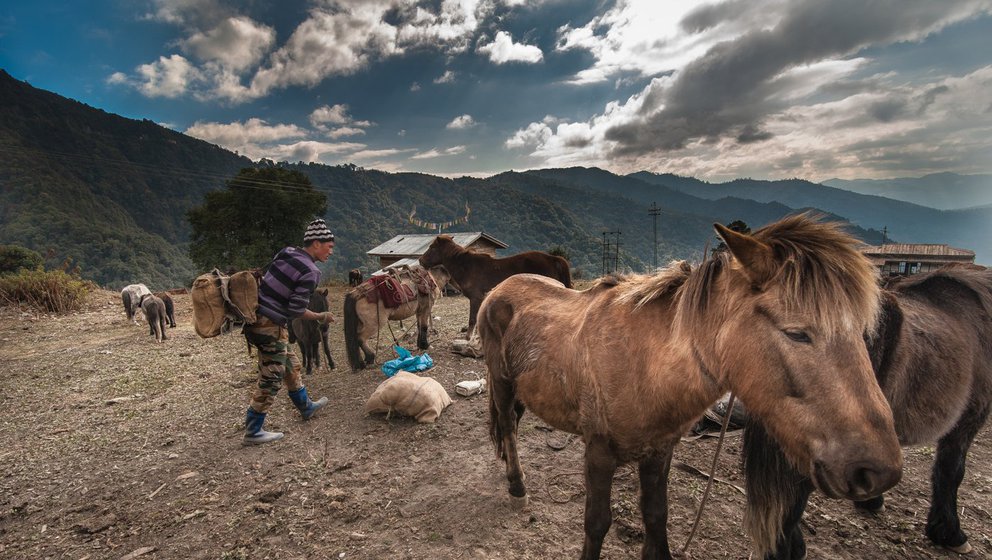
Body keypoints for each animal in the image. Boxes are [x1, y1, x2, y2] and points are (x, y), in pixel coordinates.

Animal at [418, 234, 572, 340]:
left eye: (431, 247)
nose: (420, 261)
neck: (467, 267)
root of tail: (553, 258)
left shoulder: (475, 298)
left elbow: (472, 319)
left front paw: (468, 338)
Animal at [476, 215, 904, 560]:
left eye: (863, 332)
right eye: (797, 333)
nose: (876, 470)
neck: (644, 364)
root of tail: (499, 290)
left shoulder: (659, 451)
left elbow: (656, 517)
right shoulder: (598, 452)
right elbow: (597, 523)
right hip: (501, 380)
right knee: (508, 426)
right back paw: (516, 485)